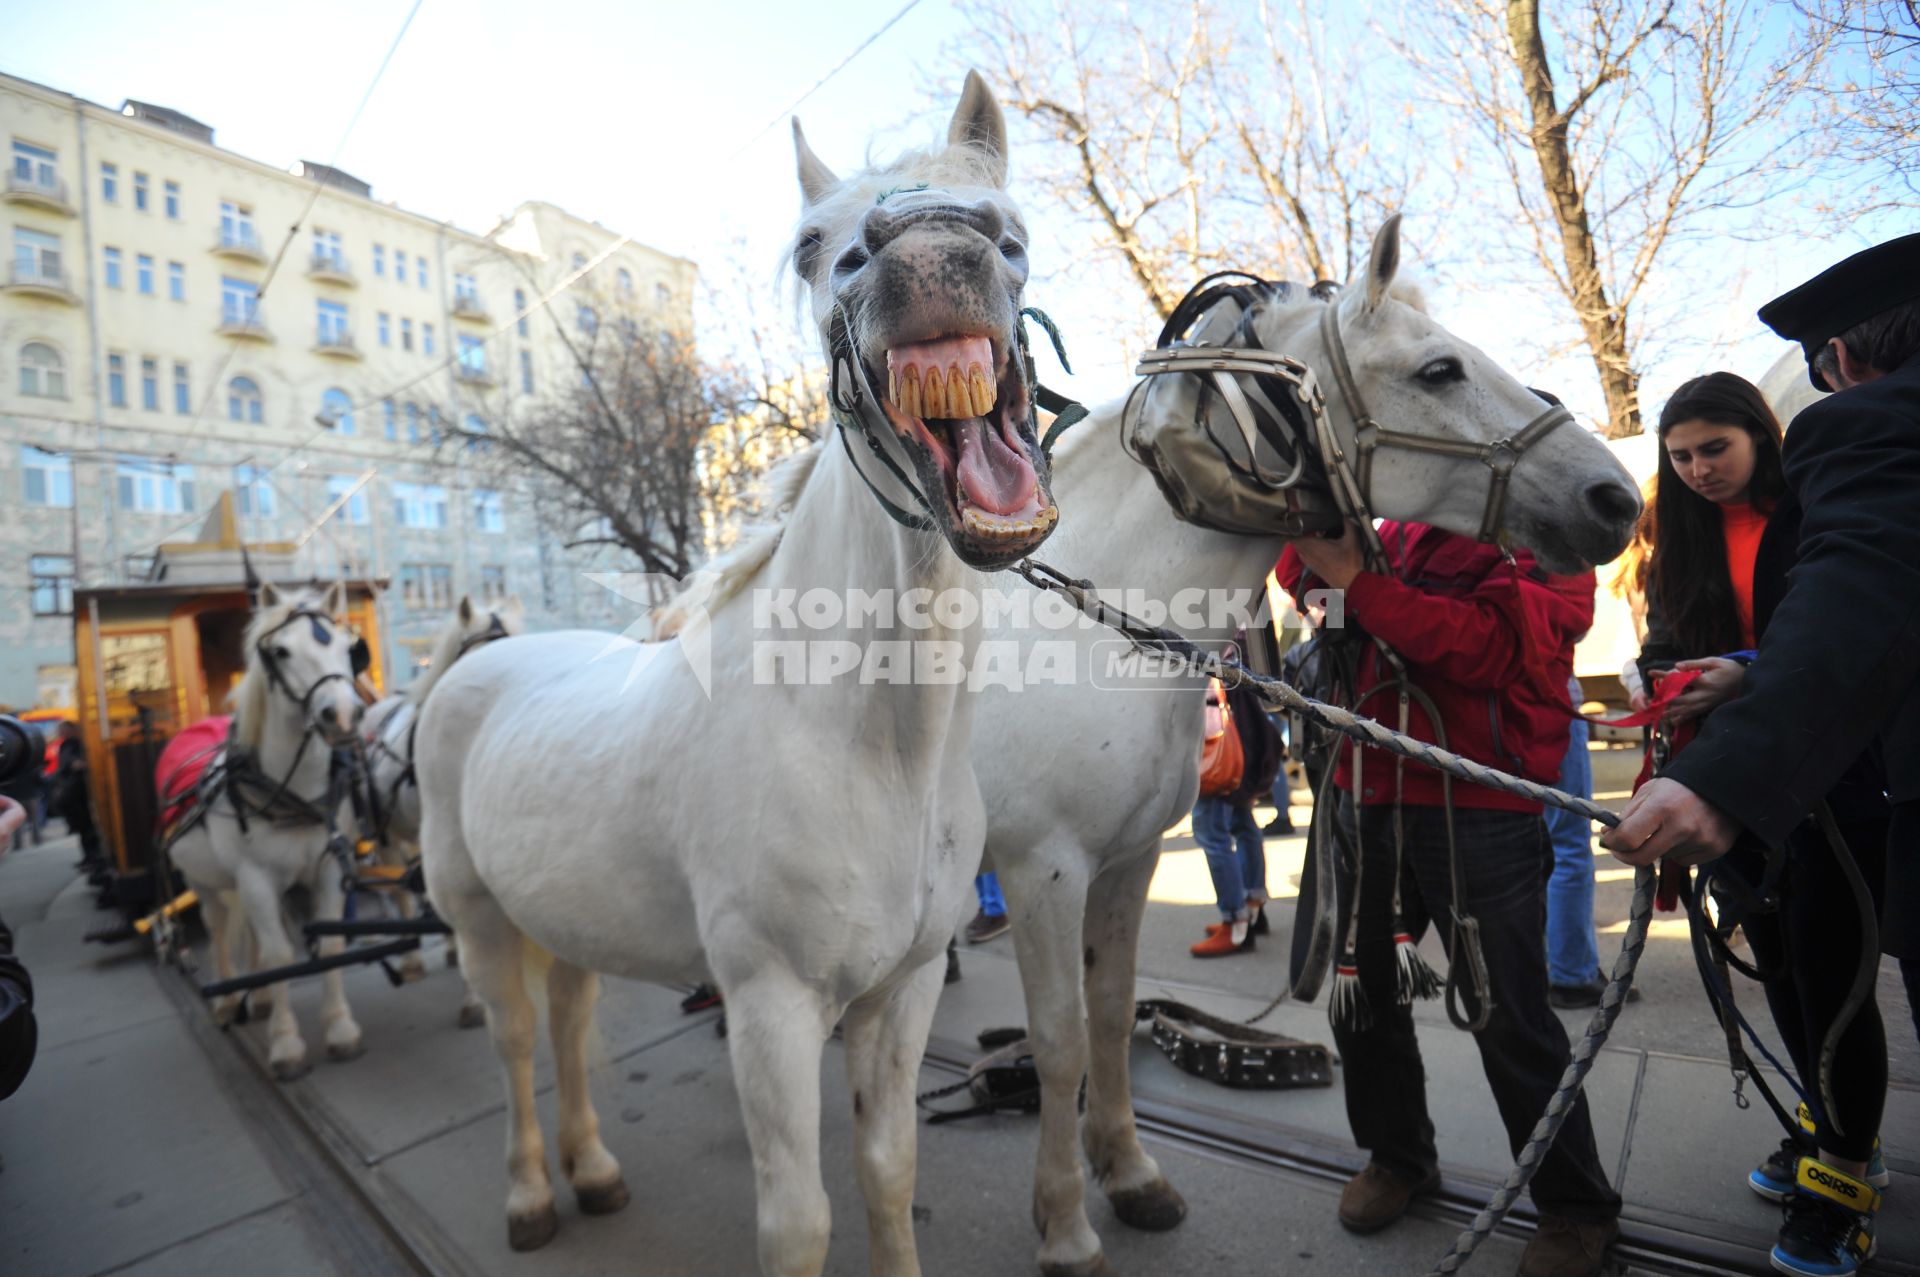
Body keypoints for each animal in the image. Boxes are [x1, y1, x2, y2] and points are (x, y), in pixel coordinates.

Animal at [168, 583, 366, 1075]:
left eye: (346, 646)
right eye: (281, 651)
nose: (343, 717)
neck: (289, 793)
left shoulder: (328, 870)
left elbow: (329, 946)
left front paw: (340, 1028)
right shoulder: (254, 877)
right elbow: (280, 955)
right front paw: (286, 1042)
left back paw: (257, 998)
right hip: (204, 882)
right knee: (219, 929)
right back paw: (229, 999)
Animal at [420, 74, 1067, 1267]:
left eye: (1013, 229)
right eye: (816, 244)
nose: (931, 257)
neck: (870, 745)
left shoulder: (902, 992)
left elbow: (888, 1173)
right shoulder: (770, 1008)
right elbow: (798, 1220)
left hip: (562, 916)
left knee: (569, 1025)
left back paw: (593, 1170)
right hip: (481, 923)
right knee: (517, 1045)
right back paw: (532, 1192)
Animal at [967, 223, 1643, 1267]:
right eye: (1438, 368)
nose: (1616, 497)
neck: (1092, 631)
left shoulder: (1122, 861)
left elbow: (1113, 1015)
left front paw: (1129, 1176)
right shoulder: (1043, 869)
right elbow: (1061, 1040)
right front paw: (1068, 1227)